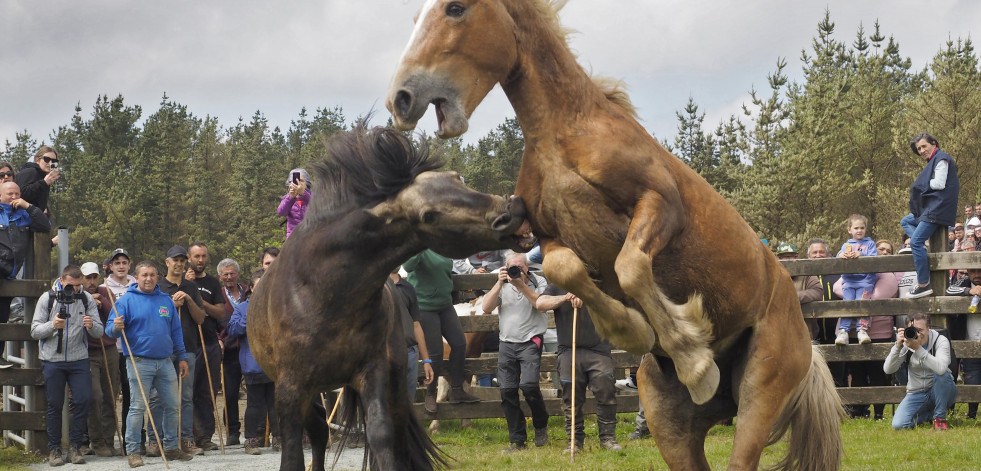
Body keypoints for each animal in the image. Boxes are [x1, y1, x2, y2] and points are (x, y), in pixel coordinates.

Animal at [249, 122, 532, 471]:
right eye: (428, 215)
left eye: (458, 178)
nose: (512, 211)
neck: (321, 291)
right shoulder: (290, 388)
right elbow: (291, 453)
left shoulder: (373, 373)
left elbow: (382, 434)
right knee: (317, 431)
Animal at [386, 1, 848, 470]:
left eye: (455, 9)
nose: (401, 98)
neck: (562, 139)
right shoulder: (548, 235)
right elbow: (566, 269)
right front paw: (633, 329)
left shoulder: (659, 204)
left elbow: (629, 265)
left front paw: (693, 358)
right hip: (668, 419)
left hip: (761, 388)